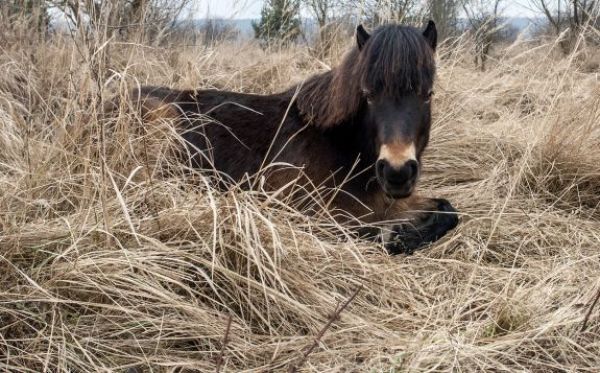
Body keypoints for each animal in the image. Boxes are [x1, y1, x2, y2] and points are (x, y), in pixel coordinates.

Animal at [124, 20, 458, 253]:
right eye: (368, 95)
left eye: (427, 94)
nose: (397, 172)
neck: (342, 147)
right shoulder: (308, 213)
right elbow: (358, 231)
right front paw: (396, 238)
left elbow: (449, 211)